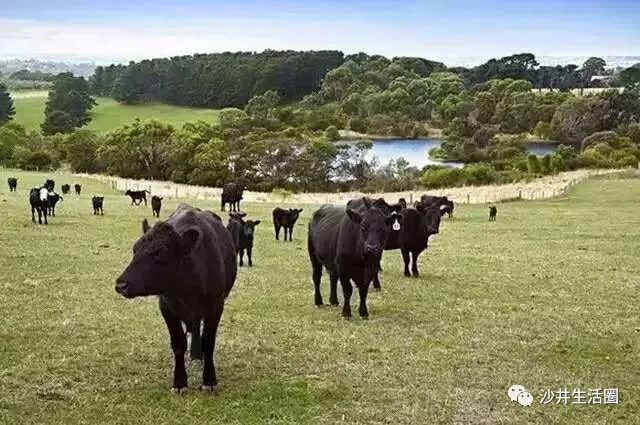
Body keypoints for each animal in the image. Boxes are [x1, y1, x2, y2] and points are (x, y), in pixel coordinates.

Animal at [115, 204, 238, 392]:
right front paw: (179, 382)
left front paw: (209, 380)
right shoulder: (167, 308)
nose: (121, 285)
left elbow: (208, 343)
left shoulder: (216, 307)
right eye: (135, 249)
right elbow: (178, 344)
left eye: (160, 253)